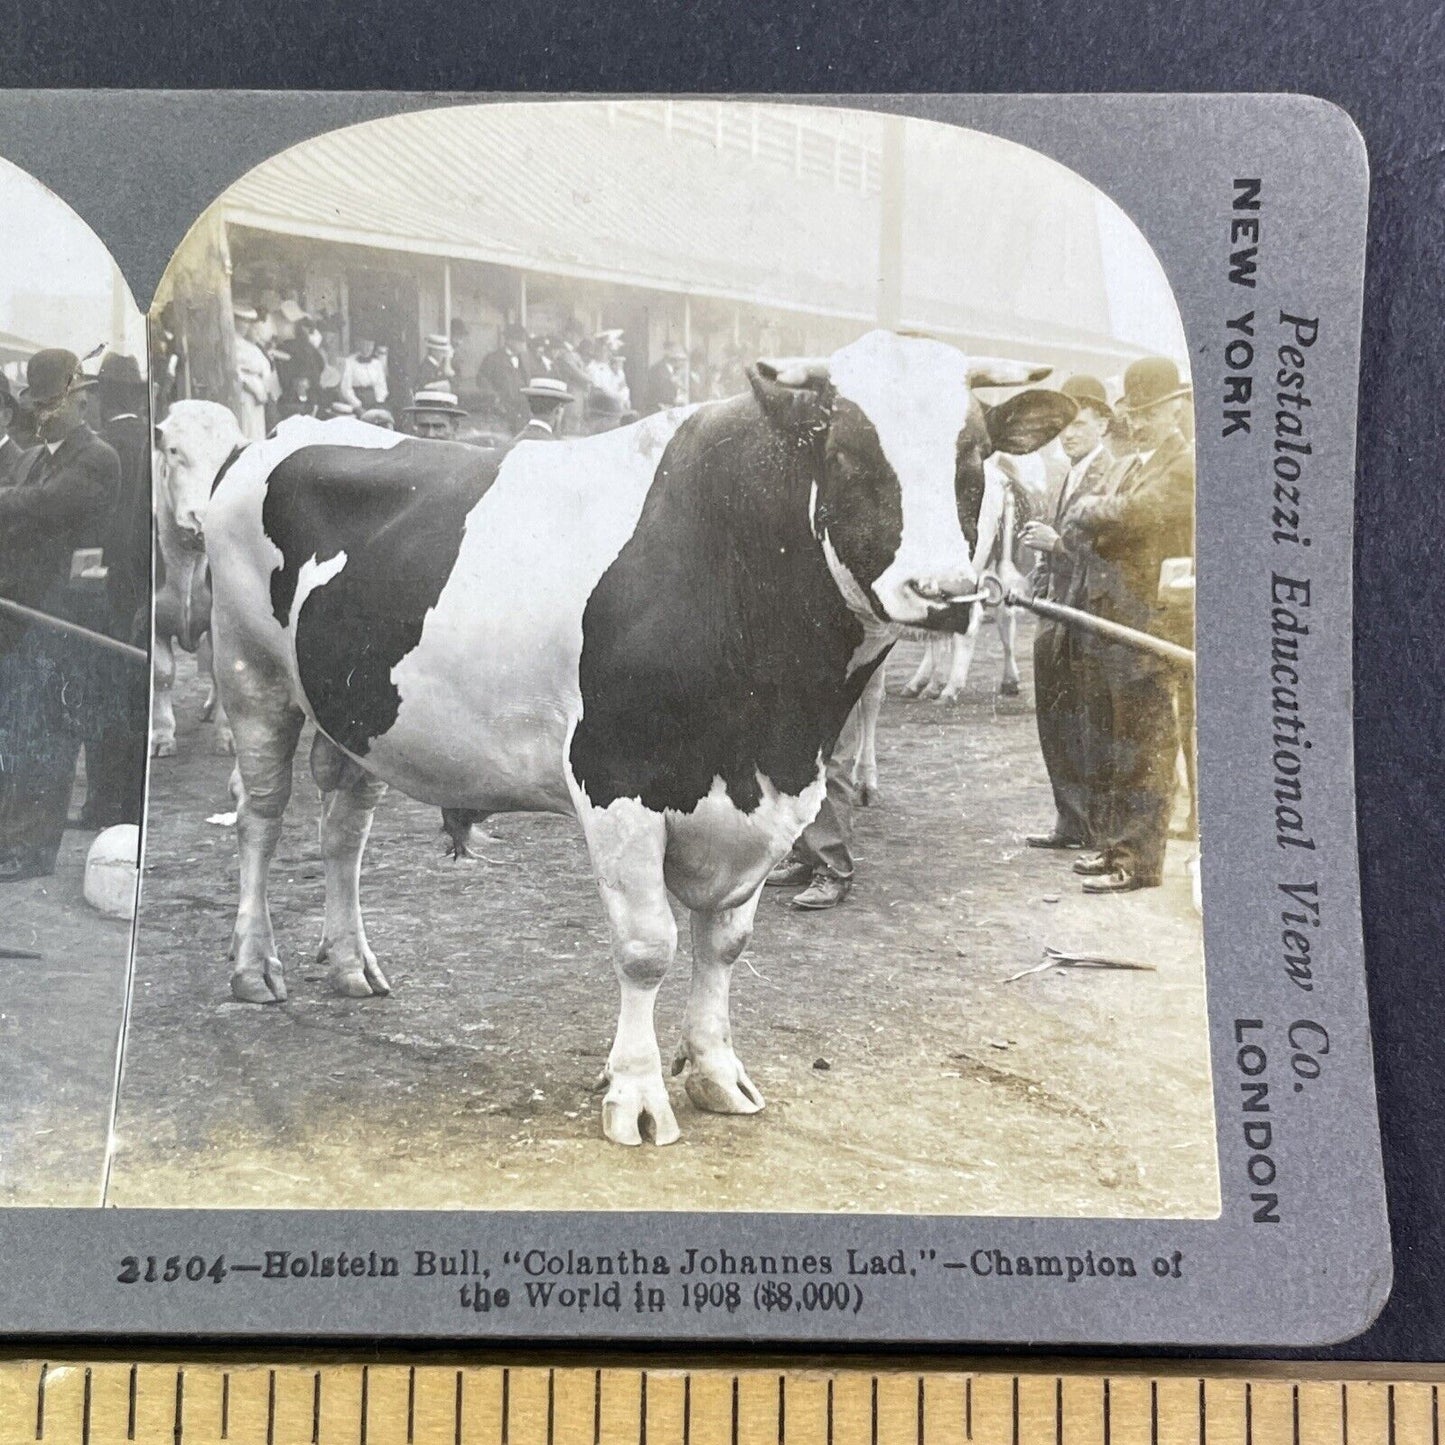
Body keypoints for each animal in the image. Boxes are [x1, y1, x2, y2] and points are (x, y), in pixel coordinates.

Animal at [151, 395, 245, 757]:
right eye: (174, 450)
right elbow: (162, 674)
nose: (201, 518)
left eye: (231, 458)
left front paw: (228, 734)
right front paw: (161, 735)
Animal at [209, 332, 1080, 1144]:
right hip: (250, 676)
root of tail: (279, 434)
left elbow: (723, 943)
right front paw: (636, 1093)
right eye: (847, 454)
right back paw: (253, 965)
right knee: (261, 818)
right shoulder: (616, 779)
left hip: (357, 710)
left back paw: (351, 961)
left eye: (973, 460)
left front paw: (716, 1071)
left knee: (344, 829)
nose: (943, 592)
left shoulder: (769, 799)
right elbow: (647, 946)